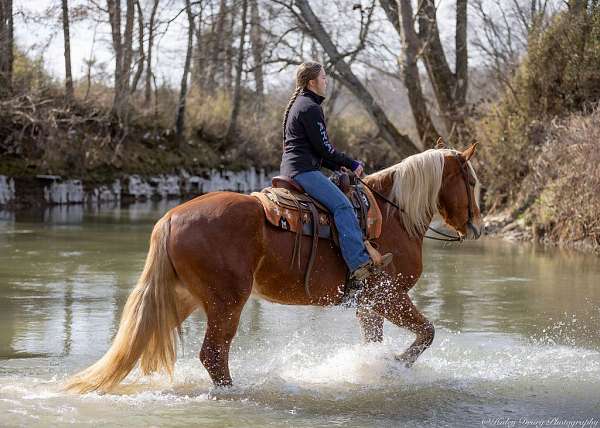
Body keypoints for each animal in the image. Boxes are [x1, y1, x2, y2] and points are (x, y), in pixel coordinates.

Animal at [63, 145, 480, 392]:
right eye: (472, 181)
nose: (476, 226)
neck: (393, 216)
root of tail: (170, 218)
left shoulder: (368, 305)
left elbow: (376, 343)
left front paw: (375, 369)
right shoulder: (389, 296)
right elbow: (426, 333)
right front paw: (394, 366)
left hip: (184, 298)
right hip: (227, 302)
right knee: (213, 355)